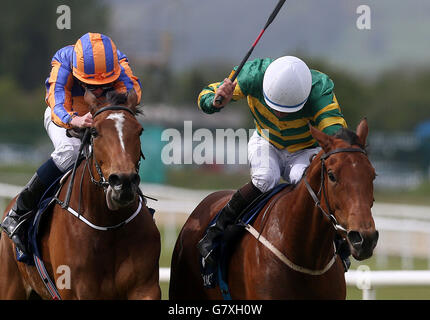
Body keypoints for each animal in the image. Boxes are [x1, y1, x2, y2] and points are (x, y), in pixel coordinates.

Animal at [0, 89, 161, 298]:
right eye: (94, 131)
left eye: (139, 130)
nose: (123, 181)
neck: (109, 225)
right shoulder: (77, 290)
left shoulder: (145, 287)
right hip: (11, 285)